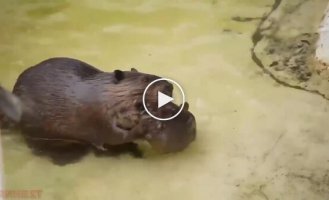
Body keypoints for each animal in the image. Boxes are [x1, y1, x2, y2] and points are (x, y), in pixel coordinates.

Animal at [5, 57, 195, 154]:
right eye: (146, 78)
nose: (169, 86)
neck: (99, 93)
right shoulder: (96, 115)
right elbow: (113, 136)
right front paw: (144, 126)